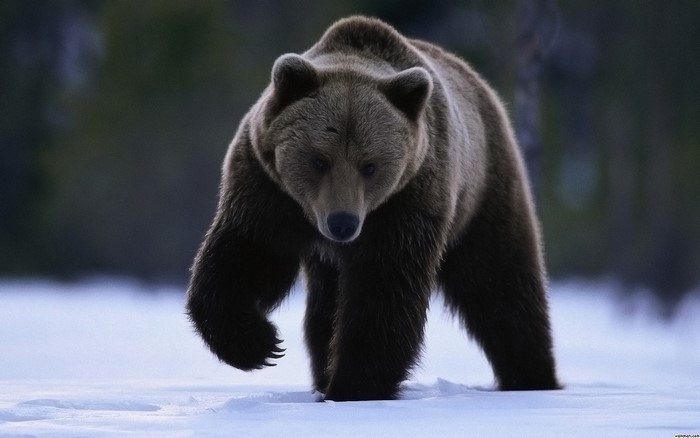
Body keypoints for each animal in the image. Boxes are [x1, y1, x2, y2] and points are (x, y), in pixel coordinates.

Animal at [186, 16, 560, 401]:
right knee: (324, 309)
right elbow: (247, 255)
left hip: (484, 191)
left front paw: (354, 385)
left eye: (370, 166)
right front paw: (259, 344)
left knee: (500, 284)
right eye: (319, 160)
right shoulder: (268, 189)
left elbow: (384, 289)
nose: (342, 223)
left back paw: (531, 376)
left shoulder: (407, 201)